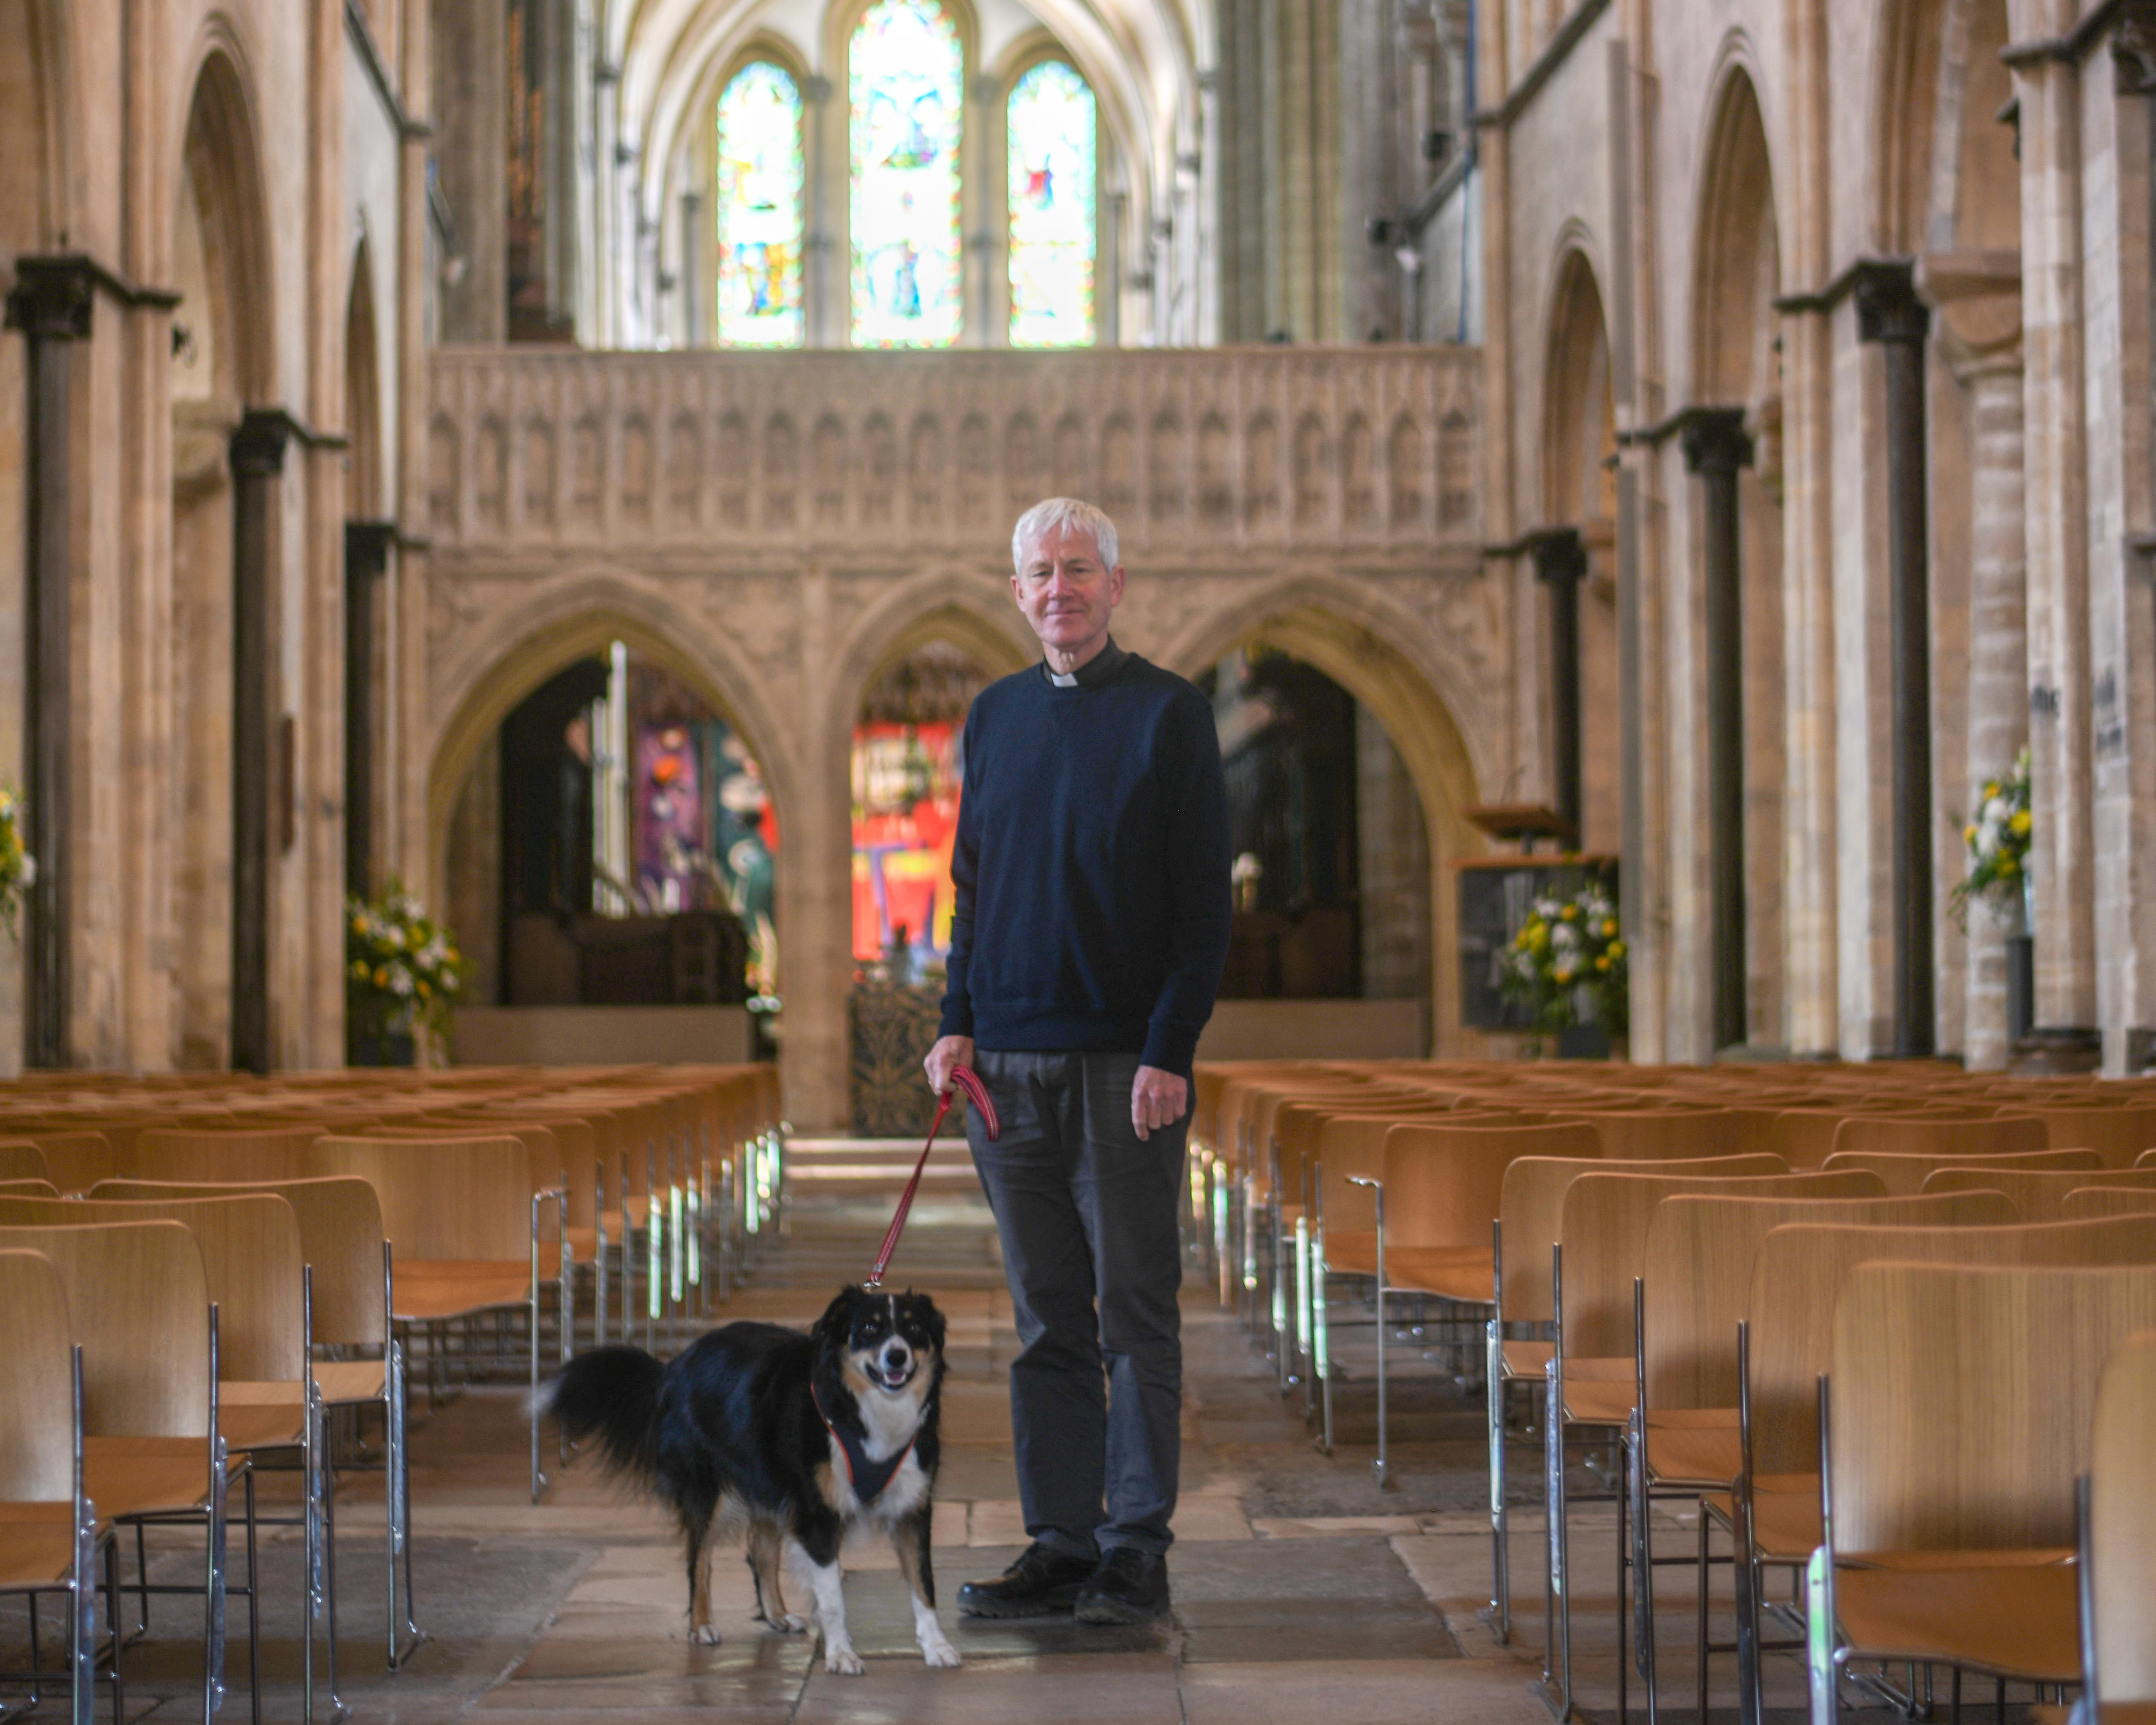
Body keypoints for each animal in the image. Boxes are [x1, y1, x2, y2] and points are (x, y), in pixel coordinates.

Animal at [547, 1276, 961, 1673]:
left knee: (760, 1551)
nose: (897, 1356)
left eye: (913, 1328)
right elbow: (831, 1598)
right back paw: (701, 1625)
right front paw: (841, 1654)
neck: (865, 1409)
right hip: (709, 1488)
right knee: (700, 1559)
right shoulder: (815, 1514)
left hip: (767, 1479)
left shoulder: (912, 1508)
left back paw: (777, 1615)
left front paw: (936, 1647)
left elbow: (924, 1584)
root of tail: (675, 1364)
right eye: (869, 1328)